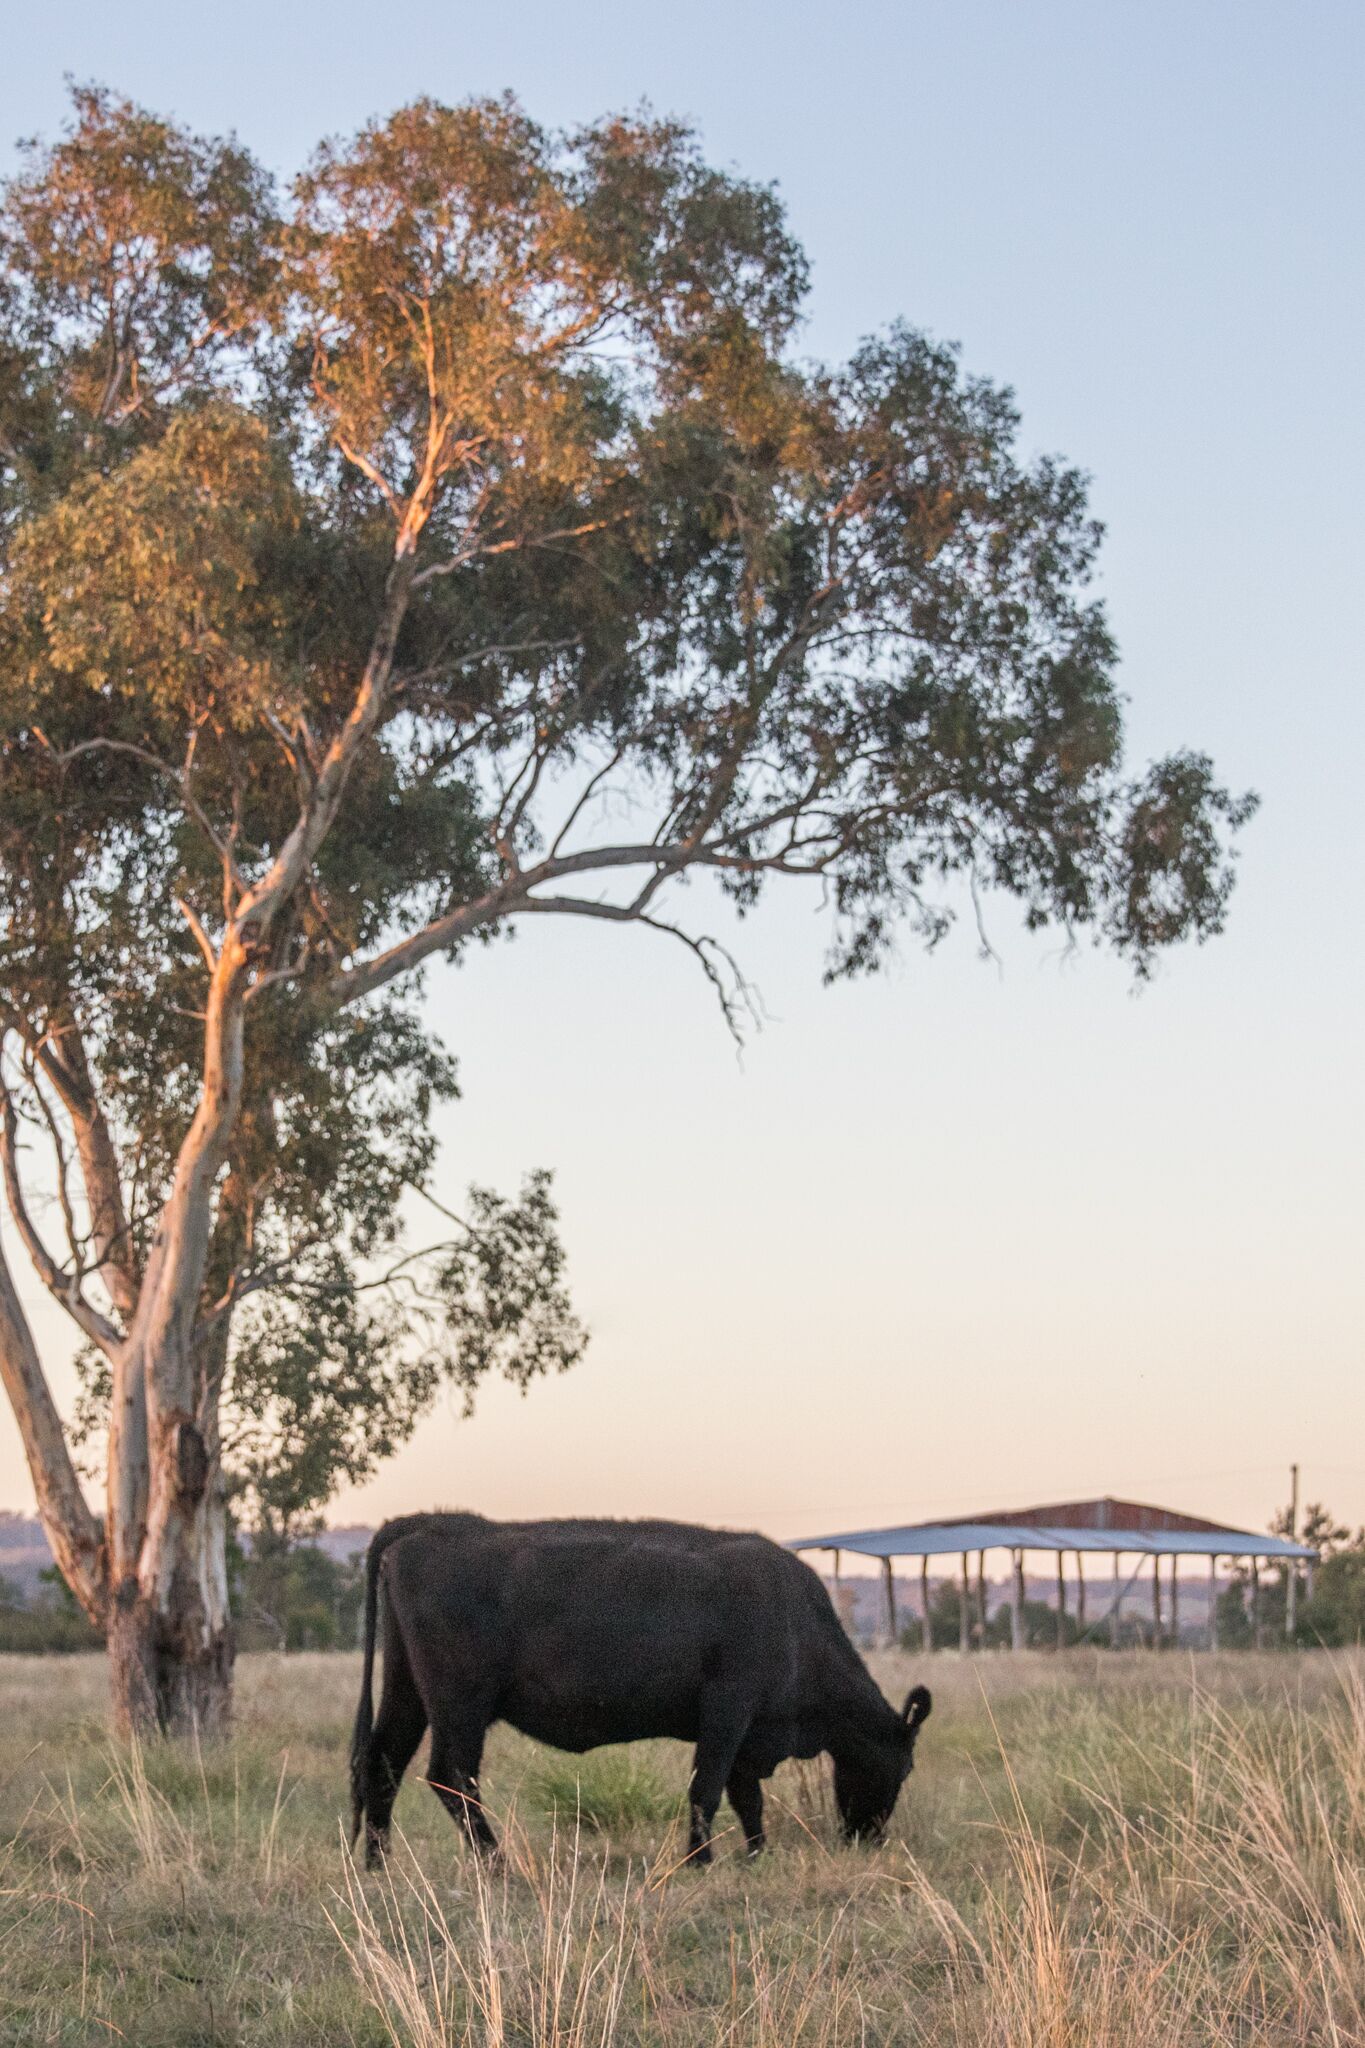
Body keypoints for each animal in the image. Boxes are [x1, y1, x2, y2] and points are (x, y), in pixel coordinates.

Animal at [347, 1515, 933, 1867]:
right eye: (904, 1767)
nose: (868, 1838)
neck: (793, 1618)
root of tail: (432, 1526)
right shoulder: (728, 1711)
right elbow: (708, 1788)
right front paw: (699, 1861)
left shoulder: (746, 1732)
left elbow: (746, 1798)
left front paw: (755, 1855)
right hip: (461, 1707)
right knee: (451, 1777)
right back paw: (497, 1866)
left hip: (408, 1695)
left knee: (383, 1764)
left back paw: (379, 1866)